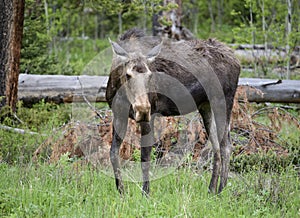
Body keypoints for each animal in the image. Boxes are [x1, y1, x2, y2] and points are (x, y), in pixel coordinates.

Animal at [106, 28, 240, 194]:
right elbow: (113, 153)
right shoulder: (119, 114)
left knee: (226, 145)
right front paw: (121, 191)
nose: (143, 109)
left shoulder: (150, 115)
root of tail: (237, 61)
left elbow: (145, 157)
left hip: (223, 100)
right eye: (127, 74)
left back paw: (221, 190)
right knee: (215, 146)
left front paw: (146, 193)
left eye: (150, 75)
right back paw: (211, 190)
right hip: (206, 106)